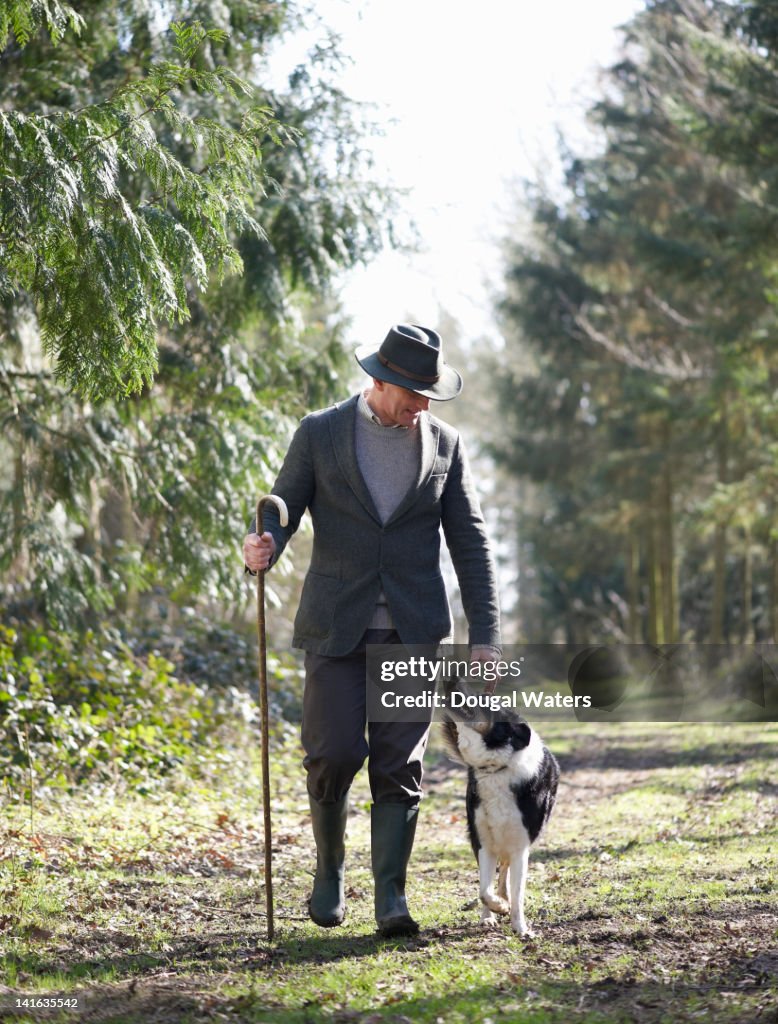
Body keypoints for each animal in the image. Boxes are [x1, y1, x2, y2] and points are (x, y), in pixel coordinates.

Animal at [444, 704, 560, 937]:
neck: (496, 768)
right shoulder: (482, 842)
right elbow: (483, 891)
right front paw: (496, 909)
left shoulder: (520, 847)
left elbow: (517, 894)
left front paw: (521, 927)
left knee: (505, 869)